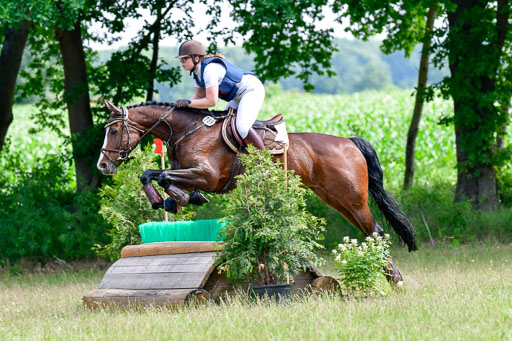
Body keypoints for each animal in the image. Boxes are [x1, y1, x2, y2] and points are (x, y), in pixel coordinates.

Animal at [98, 100, 418, 284]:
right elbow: (151, 175)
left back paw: (393, 279)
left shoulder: (207, 175)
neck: (188, 130)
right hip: (336, 198)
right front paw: (170, 201)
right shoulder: (192, 174)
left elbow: (163, 175)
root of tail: (349, 142)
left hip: (351, 198)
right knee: (371, 232)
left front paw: (180, 199)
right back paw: (388, 275)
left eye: (113, 131)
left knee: (376, 231)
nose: (103, 165)